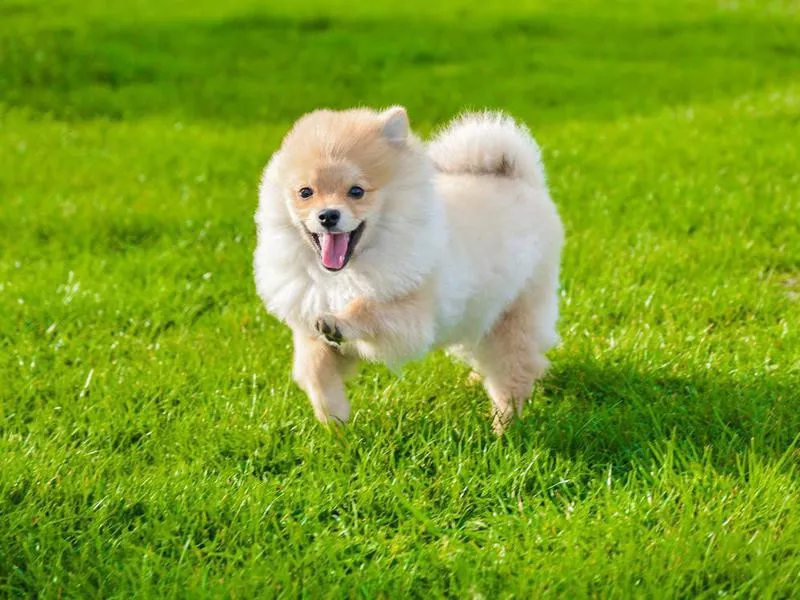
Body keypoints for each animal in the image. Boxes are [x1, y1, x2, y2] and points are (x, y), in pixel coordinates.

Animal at [255, 108, 564, 434]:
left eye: (356, 191)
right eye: (305, 192)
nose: (328, 215)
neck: (346, 273)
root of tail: (519, 177)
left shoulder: (409, 316)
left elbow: (368, 310)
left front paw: (341, 321)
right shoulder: (309, 330)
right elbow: (316, 373)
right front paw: (335, 423)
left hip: (518, 310)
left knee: (514, 372)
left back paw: (503, 427)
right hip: (480, 309)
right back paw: (477, 381)